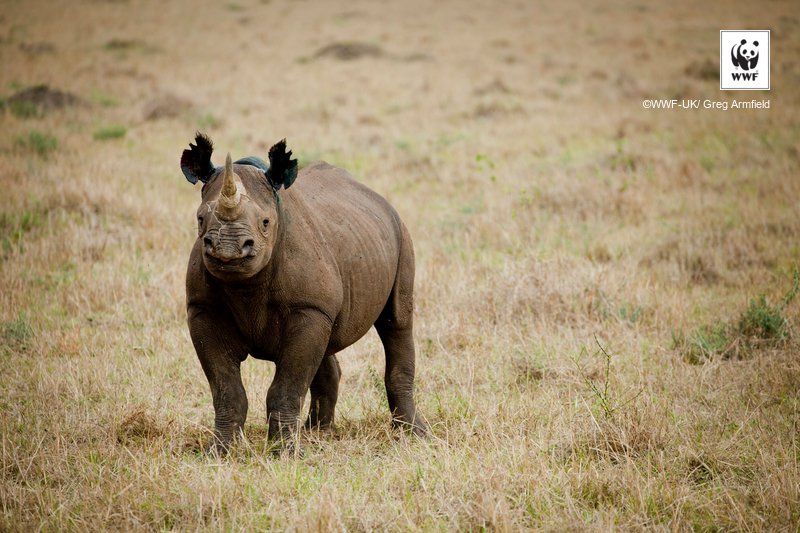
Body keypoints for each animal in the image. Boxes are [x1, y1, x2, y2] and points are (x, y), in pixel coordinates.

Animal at [180, 134, 427, 453]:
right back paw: (318, 433)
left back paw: (413, 434)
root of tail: (377, 197)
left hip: (401, 236)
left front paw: (283, 452)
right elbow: (226, 389)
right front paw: (221, 451)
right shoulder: (203, 309)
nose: (228, 250)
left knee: (396, 322)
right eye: (200, 220)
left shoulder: (308, 308)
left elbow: (286, 387)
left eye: (266, 223)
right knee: (328, 343)